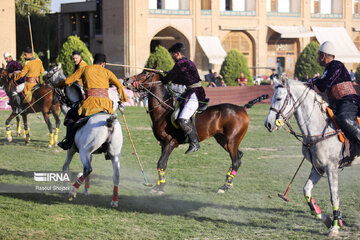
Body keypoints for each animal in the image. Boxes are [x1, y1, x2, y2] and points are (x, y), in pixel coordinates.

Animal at [124, 70, 268, 194]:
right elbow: (162, 164)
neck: (163, 111)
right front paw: (157, 186)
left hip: (232, 140)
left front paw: (160, 188)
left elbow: (161, 163)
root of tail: (242, 108)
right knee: (239, 156)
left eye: (145, 73)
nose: (126, 80)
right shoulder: (163, 144)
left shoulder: (170, 143)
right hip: (223, 140)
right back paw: (228, 182)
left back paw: (225, 186)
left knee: (236, 161)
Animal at [264, 79, 360, 236]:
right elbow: (306, 190)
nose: (268, 124)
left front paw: (335, 227)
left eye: (278, 98)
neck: (319, 128)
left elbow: (334, 197)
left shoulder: (331, 168)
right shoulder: (318, 168)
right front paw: (327, 219)